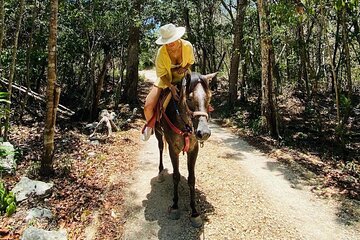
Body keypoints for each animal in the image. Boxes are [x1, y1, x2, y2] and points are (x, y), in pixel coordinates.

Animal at [155, 71, 217, 227]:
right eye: (189, 98)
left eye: (209, 97)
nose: (203, 132)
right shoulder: (173, 149)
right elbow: (176, 176)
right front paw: (175, 206)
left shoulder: (193, 149)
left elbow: (192, 179)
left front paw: (194, 212)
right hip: (158, 132)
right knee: (160, 148)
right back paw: (160, 172)